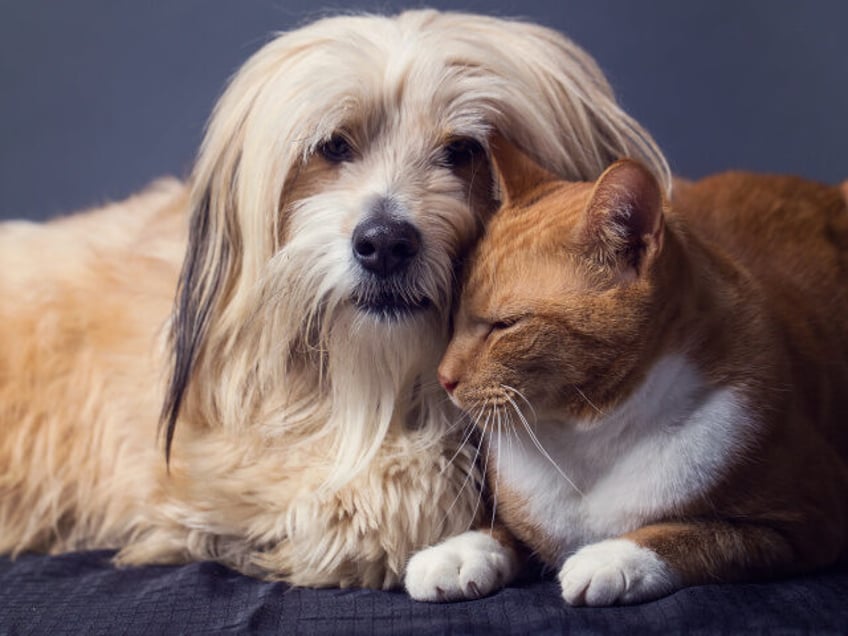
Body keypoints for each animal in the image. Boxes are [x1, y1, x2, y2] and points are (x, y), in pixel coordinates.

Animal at [424, 139, 848, 608]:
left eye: (505, 325)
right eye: (455, 317)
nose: (443, 378)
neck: (585, 439)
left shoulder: (805, 521)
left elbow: (699, 535)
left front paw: (612, 558)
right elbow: (502, 528)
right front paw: (459, 553)